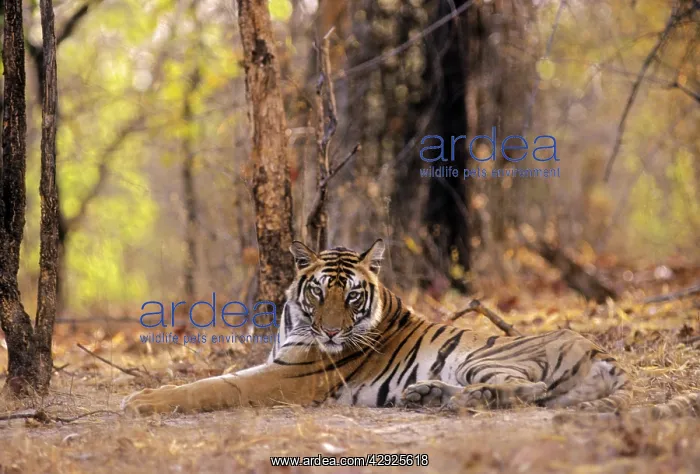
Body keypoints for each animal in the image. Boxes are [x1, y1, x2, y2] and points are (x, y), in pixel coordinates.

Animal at [121, 239, 699, 418]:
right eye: (318, 292)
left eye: (352, 296)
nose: (330, 334)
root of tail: (605, 352)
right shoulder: (278, 362)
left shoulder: (286, 377)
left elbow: (212, 386)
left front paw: (140, 400)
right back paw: (423, 395)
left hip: (486, 357)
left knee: (524, 391)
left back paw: (444, 399)